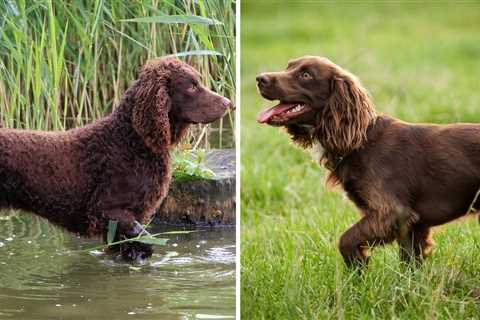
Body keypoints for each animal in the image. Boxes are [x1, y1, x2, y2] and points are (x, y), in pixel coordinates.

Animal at [256, 55, 478, 268]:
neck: (360, 141)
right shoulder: (413, 225)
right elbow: (410, 262)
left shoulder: (392, 212)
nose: (260, 78)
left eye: (305, 75)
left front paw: (358, 268)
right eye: (288, 67)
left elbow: (346, 240)